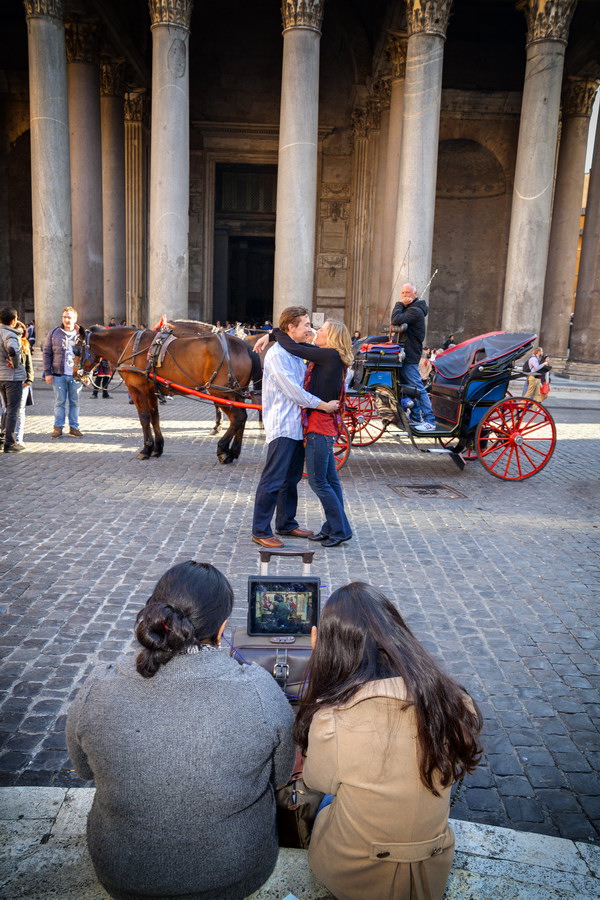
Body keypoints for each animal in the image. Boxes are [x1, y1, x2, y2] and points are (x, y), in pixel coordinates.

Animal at [74, 326, 253, 464]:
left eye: (76, 349)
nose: (76, 374)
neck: (130, 345)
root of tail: (244, 346)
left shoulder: (137, 389)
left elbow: (144, 417)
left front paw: (146, 449)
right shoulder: (151, 390)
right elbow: (155, 417)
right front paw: (157, 448)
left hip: (221, 392)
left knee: (237, 417)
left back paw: (223, 450)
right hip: (236, 393)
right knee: (243, 416)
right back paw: (234, 451)